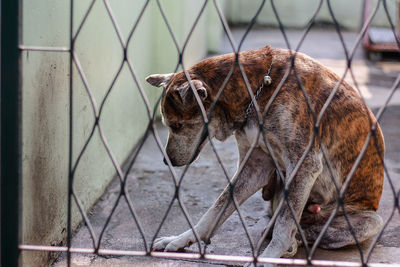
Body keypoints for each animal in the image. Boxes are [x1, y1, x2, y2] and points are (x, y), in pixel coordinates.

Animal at [146, 46, 384, 267]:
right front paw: (181, 239)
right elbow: (215, 210)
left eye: (177, 125)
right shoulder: (255, 166)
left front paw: (268, 256)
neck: (257, 89)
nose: (167, 161)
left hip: (370, 220)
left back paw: (294, 241)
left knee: (308, 230)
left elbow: (284, 225)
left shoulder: (304, 166)